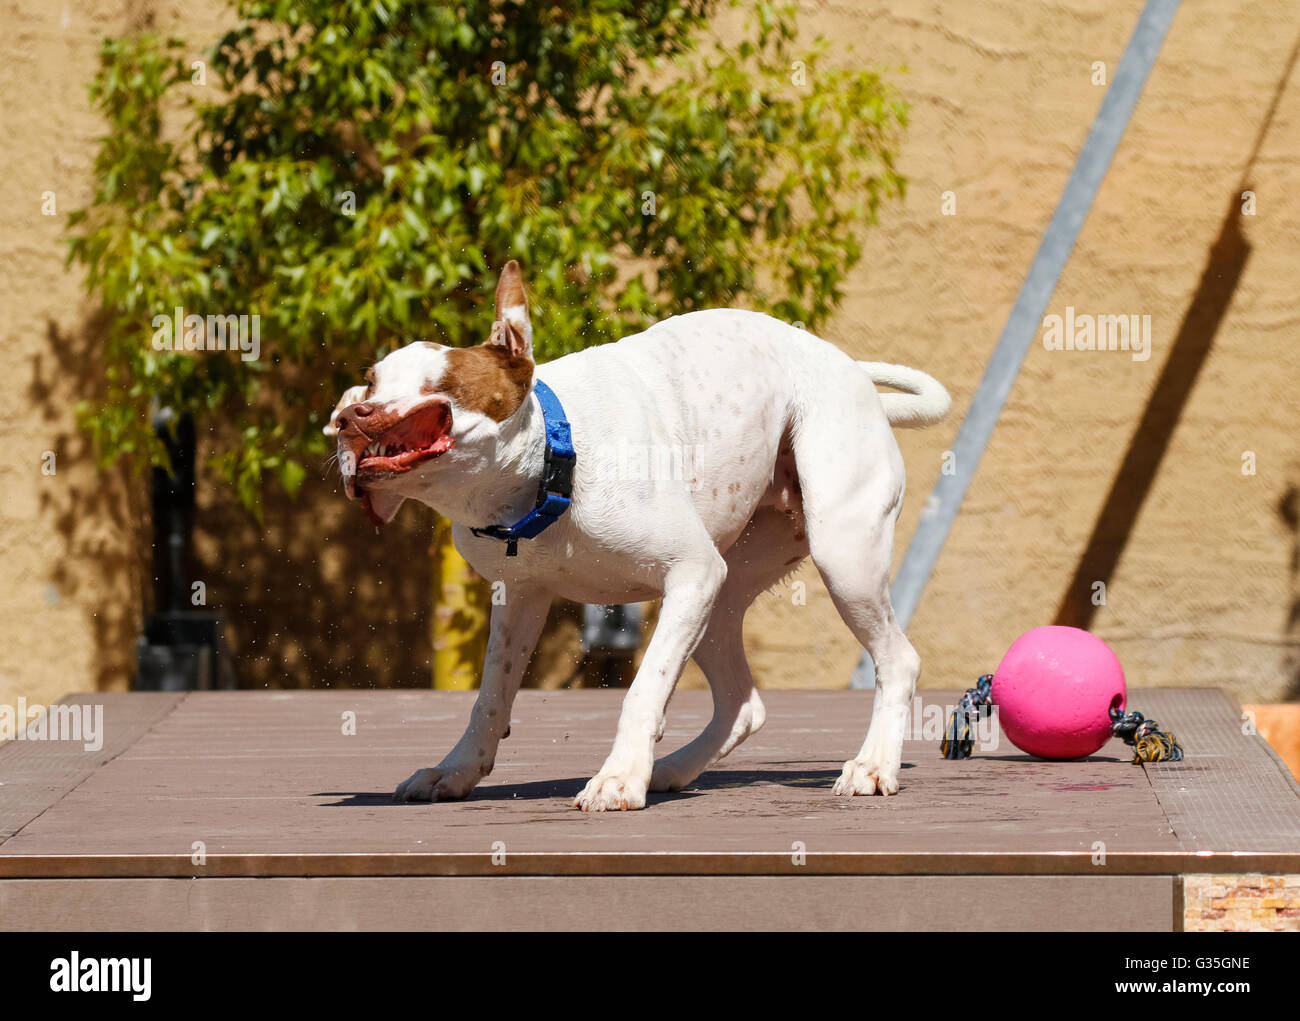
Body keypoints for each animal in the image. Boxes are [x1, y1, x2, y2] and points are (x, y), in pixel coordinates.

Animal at [325, 262, 951, 811]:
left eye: (439, 388)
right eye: (372, 380)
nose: (351, 415)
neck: (551, 464)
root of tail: (853, 372)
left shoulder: (690, 573)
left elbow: (644, 687)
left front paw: (620, 778)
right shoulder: (521, 597)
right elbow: (491, 698)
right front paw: (454, 771)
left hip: (840, 559)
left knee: (898, 660)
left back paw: (872, 766)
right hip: (723, 593)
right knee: (743, 705)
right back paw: (672, 769)